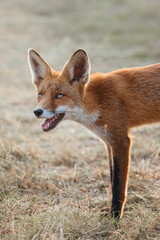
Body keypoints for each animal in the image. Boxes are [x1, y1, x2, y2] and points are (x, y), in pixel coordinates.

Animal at [28, 48, 160, 218]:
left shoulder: (121, 140)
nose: (37, 112)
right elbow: (112, 178)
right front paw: (111, 210)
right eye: (40, 94)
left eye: (59, 95)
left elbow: (118, 184)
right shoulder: (109, 142)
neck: (96, 101)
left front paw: (115, 215)